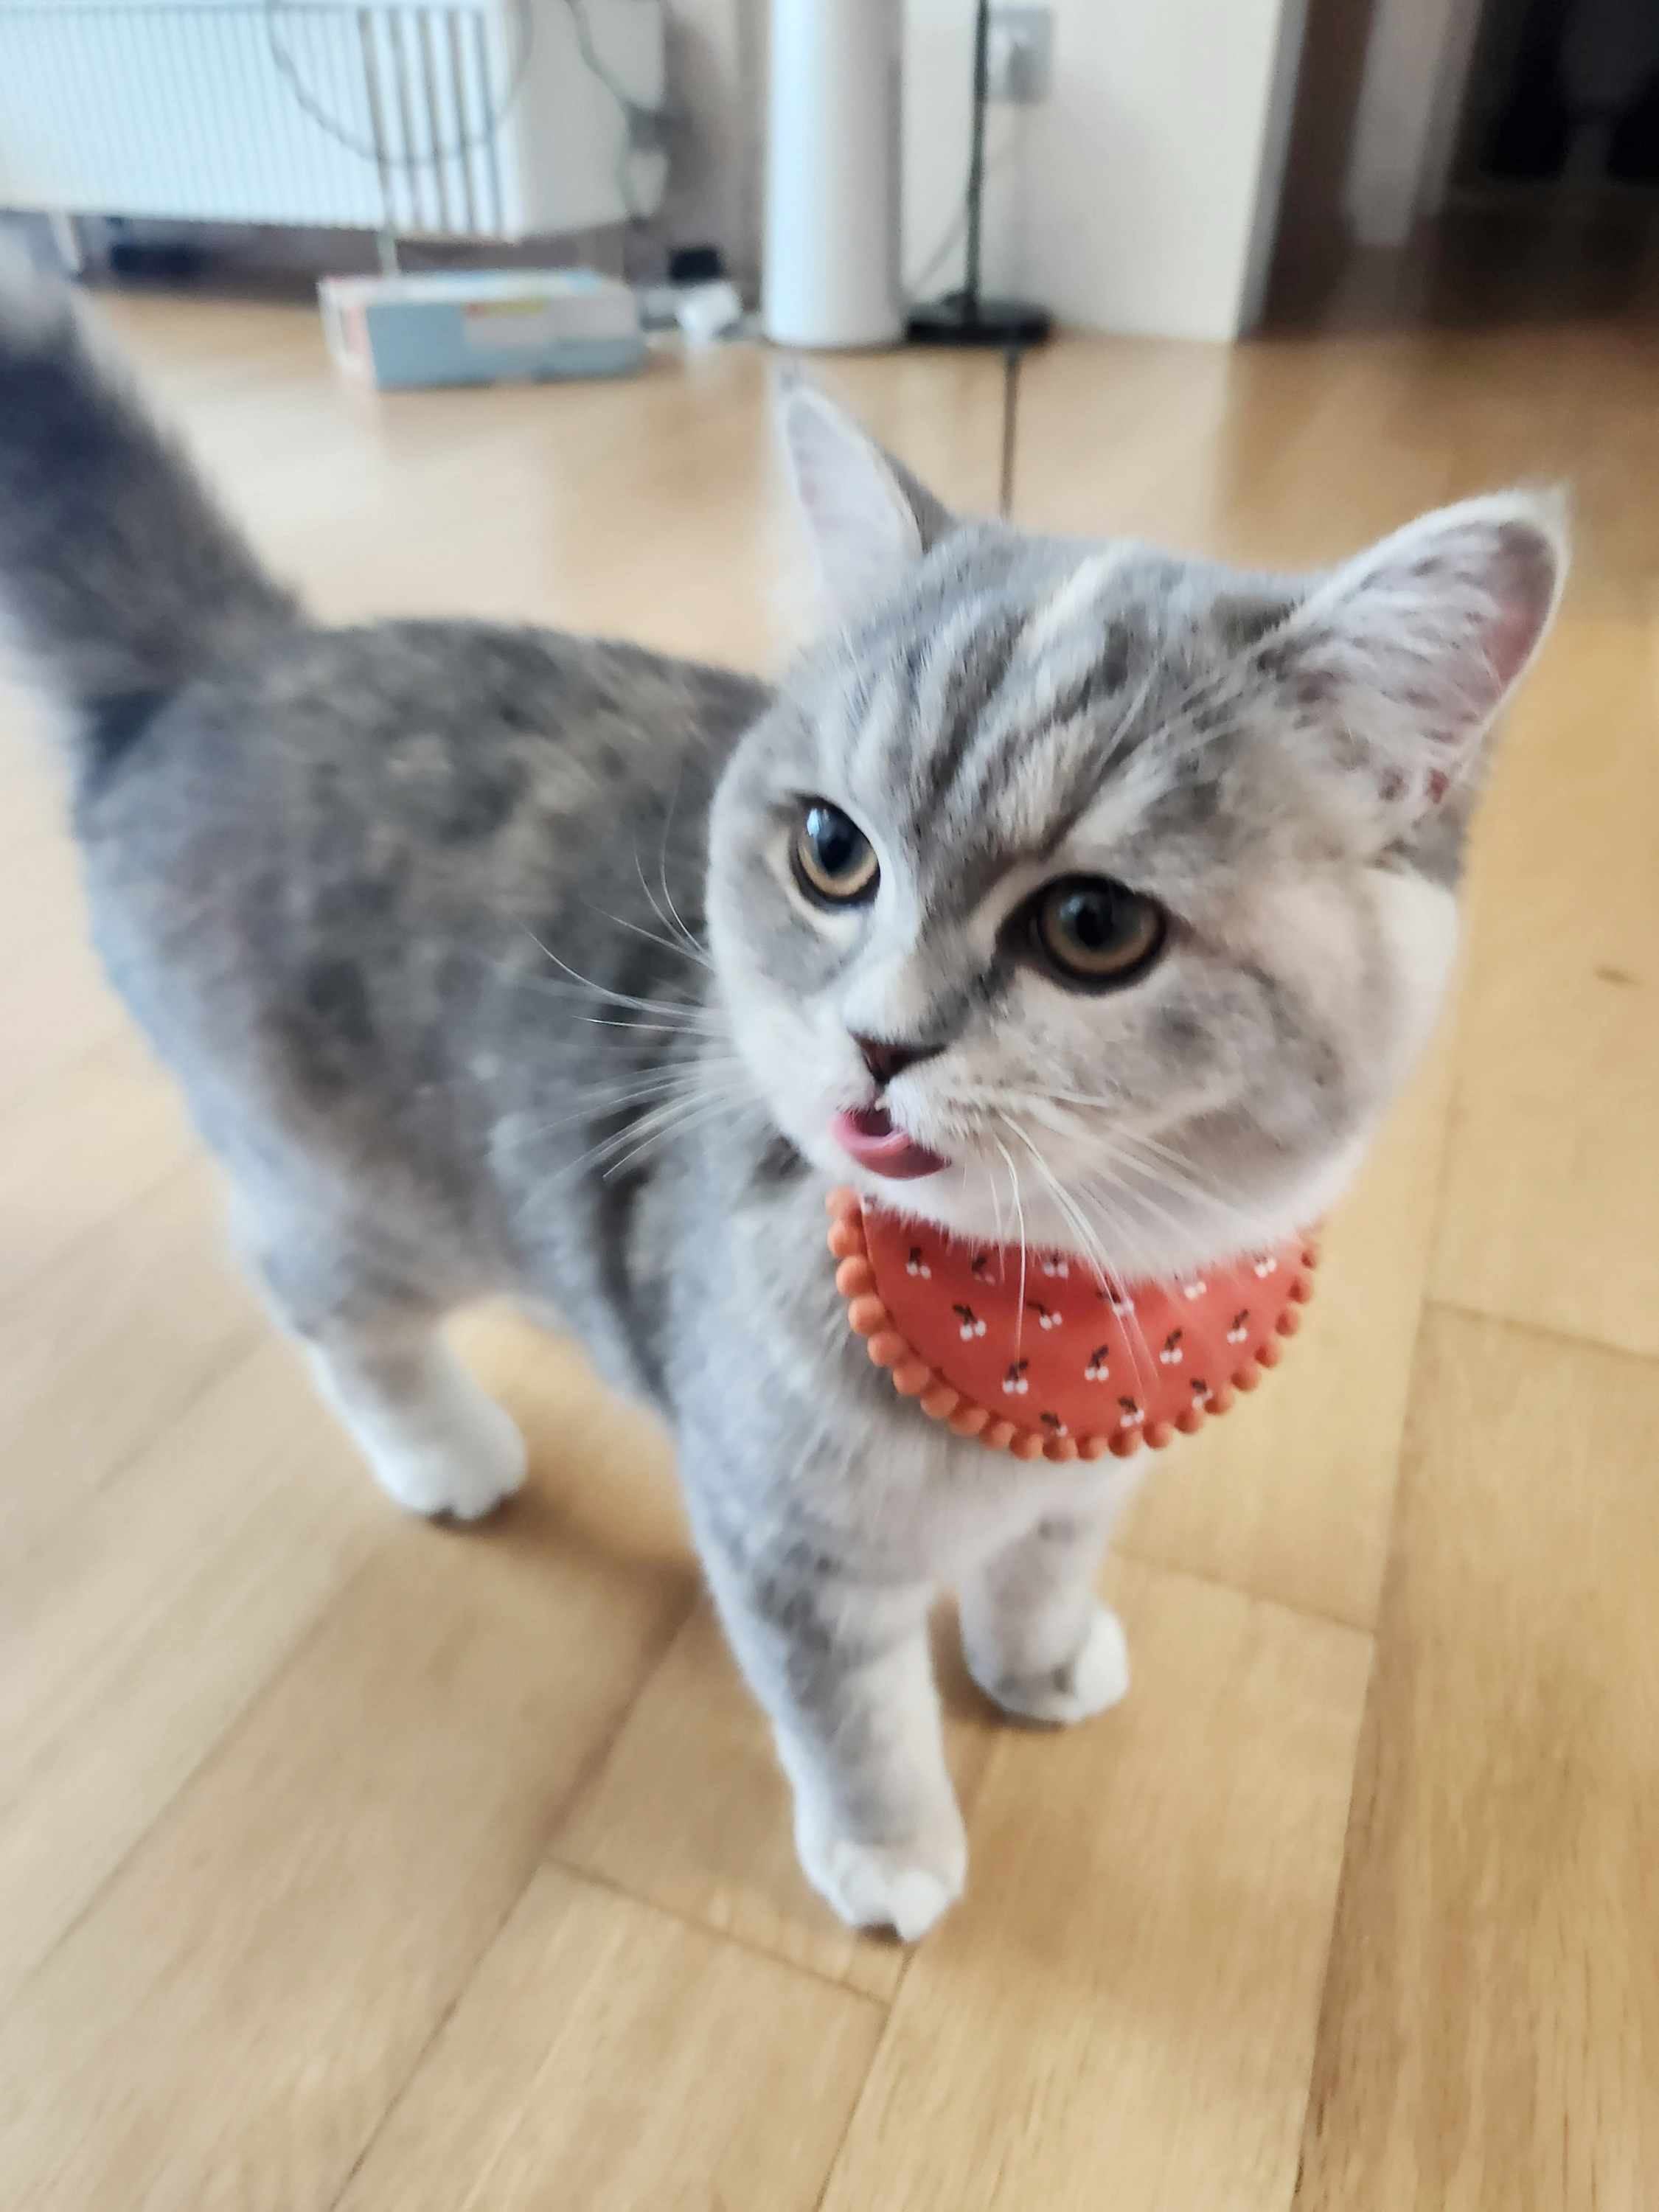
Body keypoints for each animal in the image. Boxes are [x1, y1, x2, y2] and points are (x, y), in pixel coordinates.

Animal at [0, 261, 1564, 1939]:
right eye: (831, 852)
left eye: (1095, 928)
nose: (878, 1046)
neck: (1044, 1311)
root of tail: (219, 670)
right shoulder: (782, 1537)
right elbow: (851, 1713)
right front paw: (891, 1851)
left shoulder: (1090, 1480)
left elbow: (1041, 1569)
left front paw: (1037, 1662)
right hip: (356, 1189)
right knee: (313, 1291)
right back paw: (444, 1450)